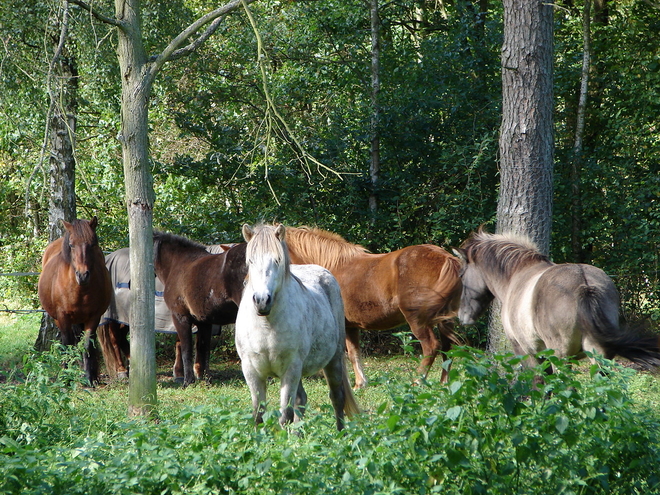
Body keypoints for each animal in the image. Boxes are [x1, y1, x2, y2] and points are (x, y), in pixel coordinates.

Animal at [37, 218, 111, 388]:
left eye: (93, 243)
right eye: (71, 245)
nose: (83, 275)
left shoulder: (93, 317)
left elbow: (87, 345)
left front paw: (90, 378)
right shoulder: (63, 317)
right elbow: (67, 345)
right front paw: (65, 377)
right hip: (58, 318)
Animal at [153, 232, 248, 388]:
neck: (177, 263)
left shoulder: (180, 317)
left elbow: (186, 348)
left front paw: (187, 381)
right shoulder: (205, 322)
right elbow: (204, 349)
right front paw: (206, 379)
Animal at [236, 225, 360, 430]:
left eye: (277, 260)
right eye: (250, 260)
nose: (262, 300)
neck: (266, 326)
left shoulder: (291, 369)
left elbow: (285, 415)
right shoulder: (251, 371)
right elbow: (258, 415)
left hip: (333, 360)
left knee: (337, 398)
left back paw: (340, 432)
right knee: (301, 400)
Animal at [284, 227, 464, 390]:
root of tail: (446, 258)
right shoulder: (351, 327)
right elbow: (354, 353)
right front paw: (361, 383)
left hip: (417, 321)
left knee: (431, 346)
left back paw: (418, 381)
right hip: (444, 320)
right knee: (447, 348)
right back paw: (444, 382)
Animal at [454, 229, 660, 372]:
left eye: (461, 274)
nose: (462, 317)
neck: (517, 275)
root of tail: (584, 283)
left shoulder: (527, 351)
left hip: (561, 358)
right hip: (600, 357)